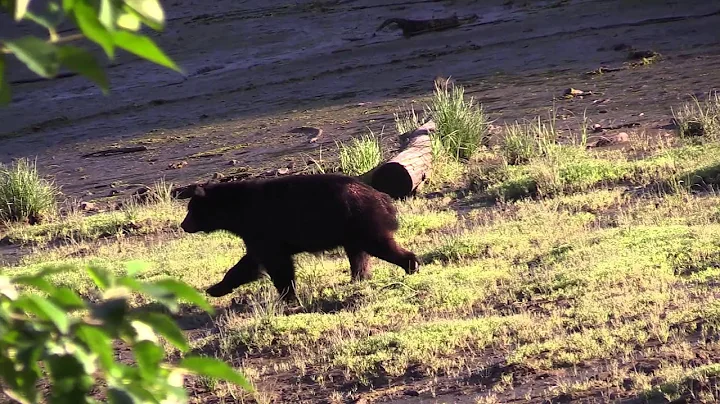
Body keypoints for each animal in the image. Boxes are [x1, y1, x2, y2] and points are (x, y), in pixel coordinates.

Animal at [179, 173, 420, 303]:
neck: (237, 212)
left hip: (362, 221)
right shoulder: (256, 234)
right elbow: (251, 262)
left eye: (191, 210)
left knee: (379, 245)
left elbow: (276, 264)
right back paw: (358, 278)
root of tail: (383, 198)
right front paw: (215, 288)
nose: (183, 225)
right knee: (359, 255)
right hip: (351, 229)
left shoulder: (263, 228)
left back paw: (411, 264)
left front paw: (287, 295)